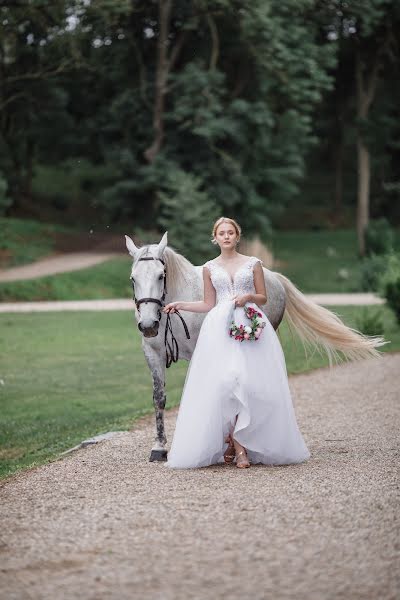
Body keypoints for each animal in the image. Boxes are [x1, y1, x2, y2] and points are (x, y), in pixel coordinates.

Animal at [126, 232, 388, 462]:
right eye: (133, 278)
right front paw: (159, 448)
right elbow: (159, 398)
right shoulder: (153, 354)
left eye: (161, 275)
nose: (148, 325)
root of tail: (273, 276)